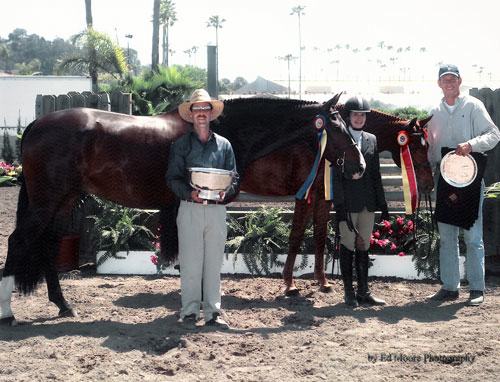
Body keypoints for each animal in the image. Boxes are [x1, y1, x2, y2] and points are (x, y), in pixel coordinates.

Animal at [0, 94, 364, 324]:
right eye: (334, 126)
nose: (359, 165)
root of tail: (34, 125)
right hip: (46, 202)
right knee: (18, 242)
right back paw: (10, 313)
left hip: (62, 202)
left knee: (48, 245)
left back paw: (64, 306)